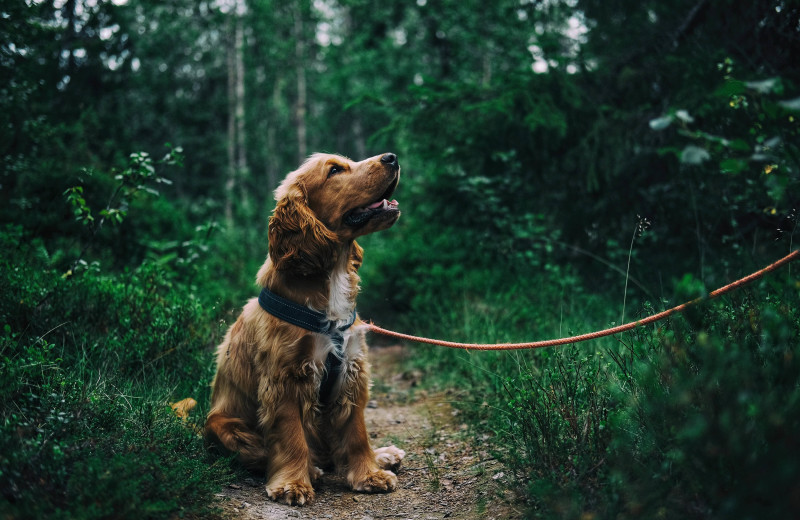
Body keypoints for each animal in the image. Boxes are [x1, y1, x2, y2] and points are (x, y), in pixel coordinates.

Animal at [206, 153, 406, 504]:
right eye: (335, 170)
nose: (392, 157)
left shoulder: (351, 369)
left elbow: (356, 433)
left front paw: (369, 474)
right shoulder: (285, 377)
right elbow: (291, 437)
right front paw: (293, 484)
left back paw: (382, 455)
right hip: (223, 426)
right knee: (263, 453)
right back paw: (311, 470)